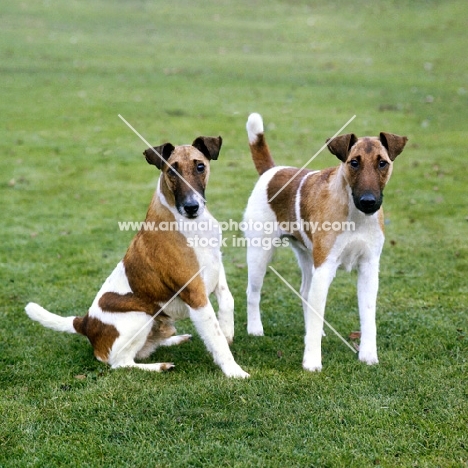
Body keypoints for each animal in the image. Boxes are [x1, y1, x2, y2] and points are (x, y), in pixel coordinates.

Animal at [26, 137, 249, 378]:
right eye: (171, 171)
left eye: (200, 166)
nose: (192, 207)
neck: (190, 224)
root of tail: (85, 322)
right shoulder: (195, 295)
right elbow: (216, 339)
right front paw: (234, 371)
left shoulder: (216, 265)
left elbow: (227, 300)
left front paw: (227, 330)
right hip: (141, 317)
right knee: (121, 362)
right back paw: (160, 366)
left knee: (144, 350)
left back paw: (174, 340)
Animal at [241, 112, 406, 370]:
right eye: (354, 162)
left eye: (383, 163)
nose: (369, 201)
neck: (355, 215)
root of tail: (272, 171)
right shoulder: (325, 267)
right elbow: (318, 314)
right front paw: (311, 361)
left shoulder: (368, 268)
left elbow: (368, 317)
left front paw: (368, 355)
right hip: (260, 254)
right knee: (253, 292)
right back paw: (255, 328)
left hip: (307, 257)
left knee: (305, 292)